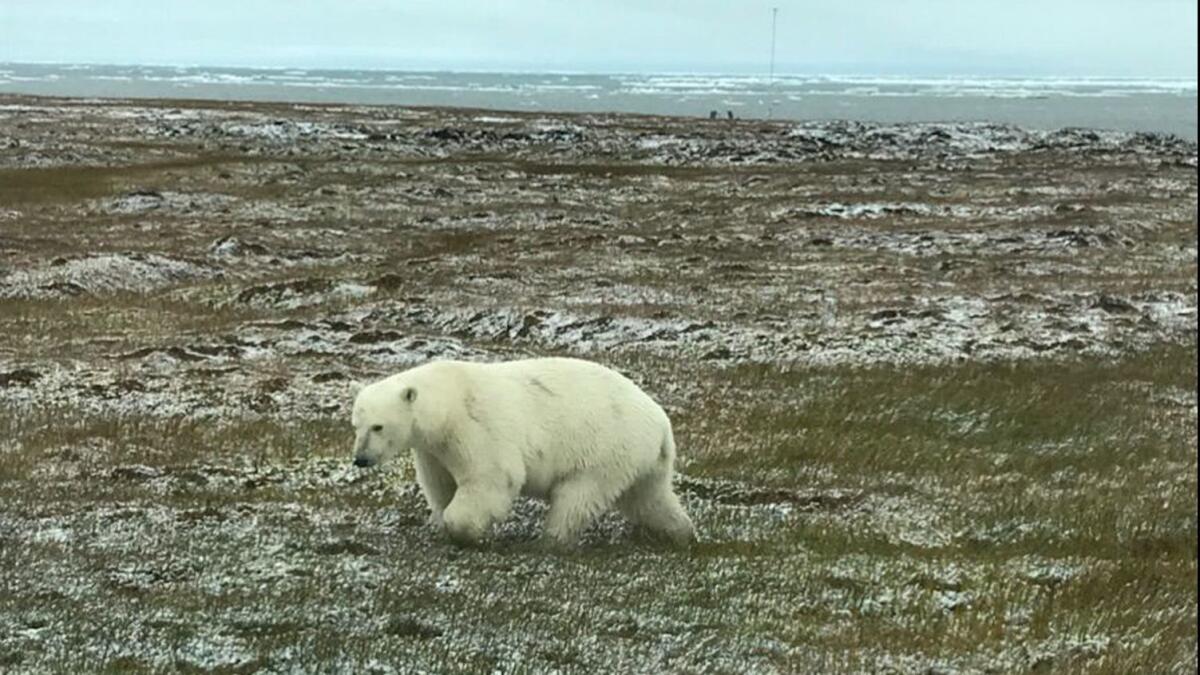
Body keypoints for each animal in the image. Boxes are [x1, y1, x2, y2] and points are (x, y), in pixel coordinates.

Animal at [350, 355, 696, 542]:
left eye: (378, 426)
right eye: (356, 425)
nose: (360, 459)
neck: (447, 401)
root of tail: (661, 424)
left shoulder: (473, 428)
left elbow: (491, 476)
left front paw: (462, 529)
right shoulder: (433, 449)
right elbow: (439, 484)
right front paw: (440, 523)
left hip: (605, 450)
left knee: (576, 497)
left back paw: (550, 540)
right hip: (640, 459)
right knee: (649, 498)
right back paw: (682, 535)